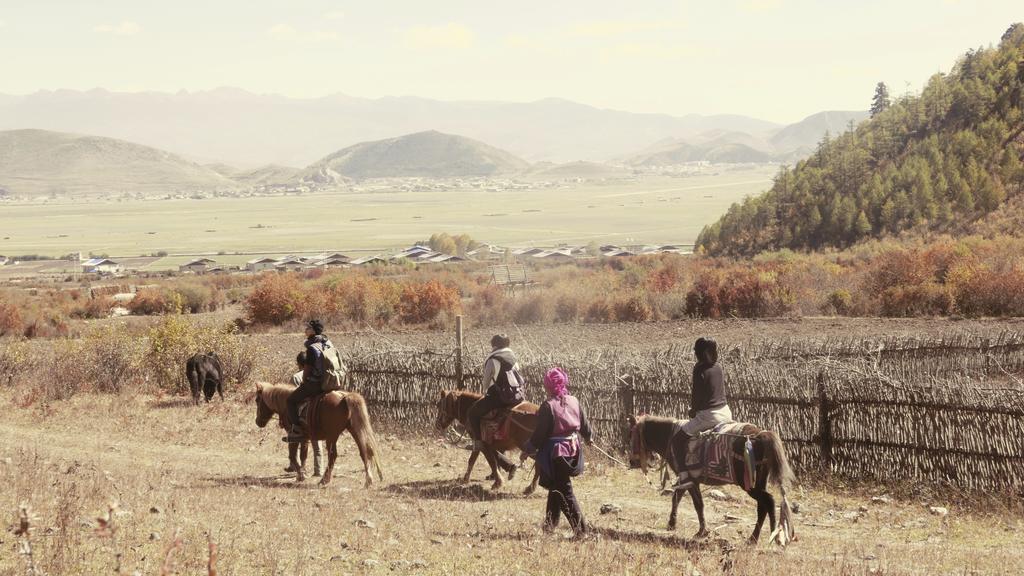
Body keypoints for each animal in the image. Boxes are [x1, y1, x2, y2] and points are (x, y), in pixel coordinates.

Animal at [254, 381, 385, 483]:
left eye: (257, 400)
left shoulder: (292, 435)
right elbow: (303, 455)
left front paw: (301, 475)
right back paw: (369, 480)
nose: (258, 422)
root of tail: (344, 397)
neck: (286, 405)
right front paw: (302, 473)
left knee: (333, 455)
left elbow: (293, 456)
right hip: (354, 430)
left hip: (332, 436)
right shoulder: (304, 437)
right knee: (365, 451)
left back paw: (324, 480)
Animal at [626, 412, 794, 541]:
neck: (670, 435)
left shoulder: (689, 479)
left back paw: (770, 535)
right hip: (758, 481)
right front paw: (672, 524)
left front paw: (700, 531)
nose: (632, 462)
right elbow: (678, 498)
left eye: (631, 434)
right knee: (763, 506)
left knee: (769, 501)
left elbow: (696, 504)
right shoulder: (688, 479)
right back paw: (754, 539)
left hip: (749, 485)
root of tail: (759, 435)